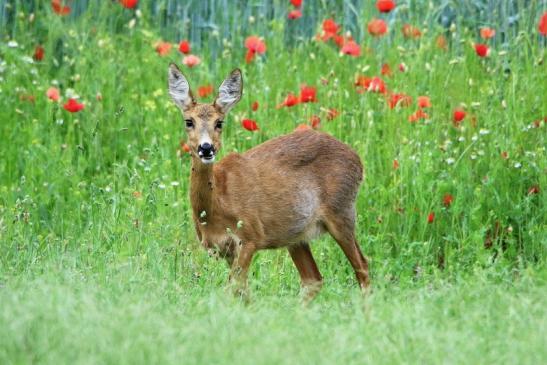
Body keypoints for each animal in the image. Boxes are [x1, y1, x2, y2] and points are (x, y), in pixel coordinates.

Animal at [168, 63, 372, 298]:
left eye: (219, 122)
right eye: (188, 121)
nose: (206, 148)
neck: (217, 202)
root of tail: (358, 160)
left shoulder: (250, 236)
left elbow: (233, 289)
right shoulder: (226, 249)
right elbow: (242, 292)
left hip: (342, 212)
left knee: (362, 266)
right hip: (297, 235)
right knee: (313, 279)